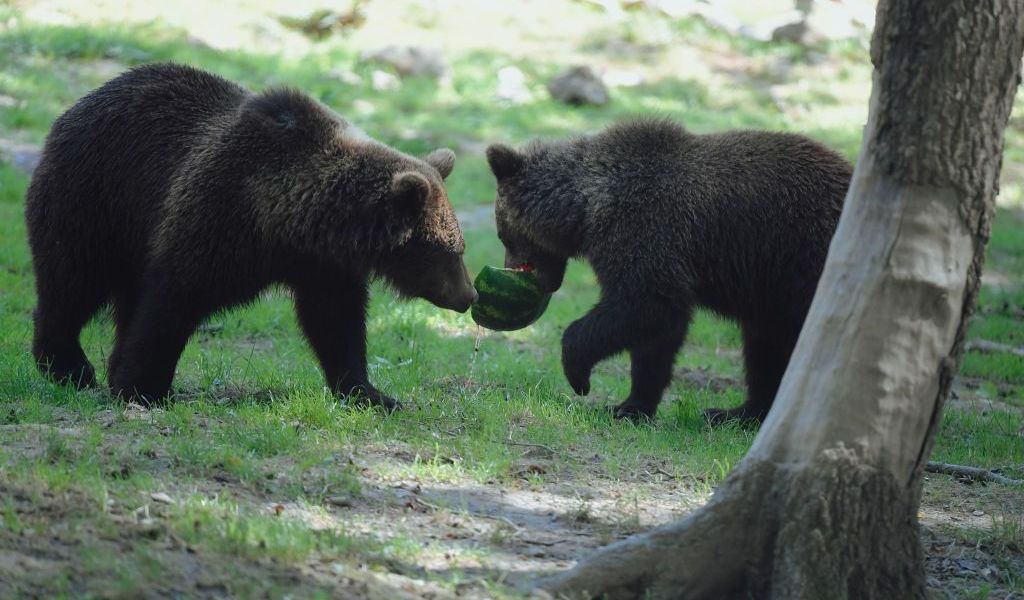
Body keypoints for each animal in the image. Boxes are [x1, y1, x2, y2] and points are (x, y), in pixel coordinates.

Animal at [26, 63, 477, 409]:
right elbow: (171, 302)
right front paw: (141, 387)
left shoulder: (323, 267)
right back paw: (69, 367)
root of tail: (80, 103)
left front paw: (371, 393)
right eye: (449, 249)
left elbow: (336, 323)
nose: (468, 295)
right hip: (96, 202)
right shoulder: (218, 221)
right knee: (72, 280)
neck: (285, 224)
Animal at [486, 118, 852, 424]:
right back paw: (735, 413)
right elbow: (657, 337)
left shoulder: (646, 228)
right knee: (765, 347)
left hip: (803, 262)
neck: (587, 204)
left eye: (503, 234)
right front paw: (630, 407)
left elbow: (648, 304)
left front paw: (579, 375)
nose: (512, 268)